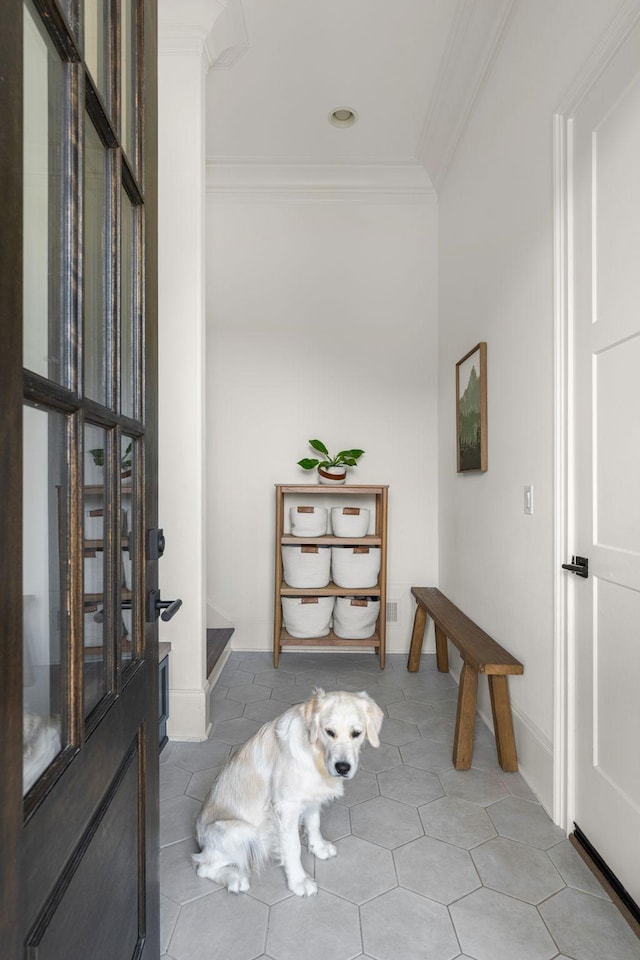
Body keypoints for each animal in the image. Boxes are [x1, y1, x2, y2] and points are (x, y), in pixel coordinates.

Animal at [192, 688, 382, 896]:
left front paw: (319, 847)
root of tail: (200, 838)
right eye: (329, 732)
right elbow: (293, 848)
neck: (315, 754)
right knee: (203, 867)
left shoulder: (311, 797)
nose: (342, 768)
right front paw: (299, 881)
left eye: (356, 733)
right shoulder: (286, 807)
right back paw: (236, 879)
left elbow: (314, 824)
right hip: (242, 832)